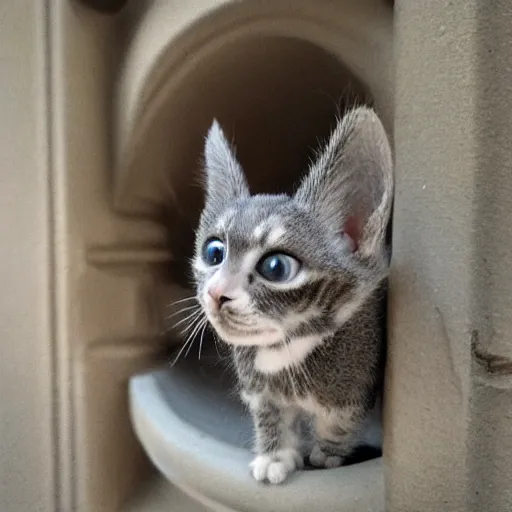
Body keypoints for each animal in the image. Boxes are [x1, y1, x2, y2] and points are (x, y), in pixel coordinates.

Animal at [191, 107, 392, 484]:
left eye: (275, 267)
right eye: (214, 252)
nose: (216, 292)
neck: (283, 352)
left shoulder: (353, 390)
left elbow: (338, 425)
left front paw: (328, 455)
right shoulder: (260, 393)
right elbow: (270, 418)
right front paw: (275, 455)